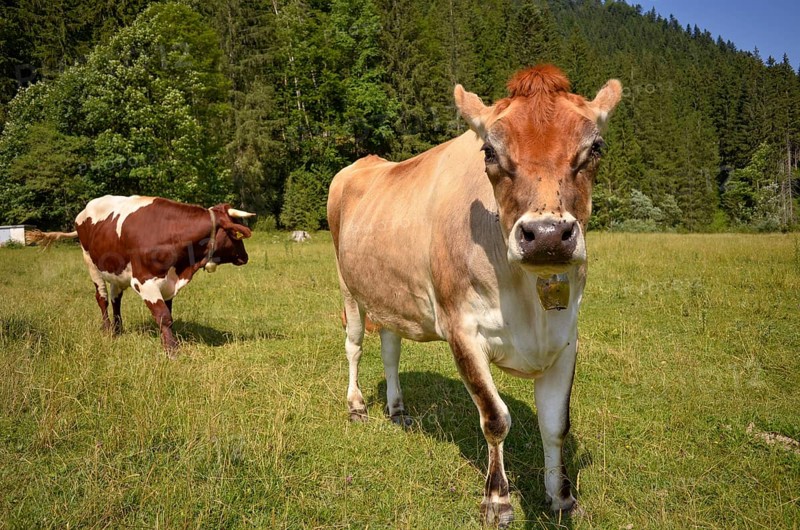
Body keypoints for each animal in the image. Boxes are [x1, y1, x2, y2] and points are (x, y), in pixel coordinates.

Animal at [35, 195, 255, 355]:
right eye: (235, 234)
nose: (245, 256)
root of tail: (85, 209)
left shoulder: (168, 283)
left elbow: (168, 315)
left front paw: (167, 342)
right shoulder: (144, 281)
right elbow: (164, 316)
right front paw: (172, 351)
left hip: (117, 270)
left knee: (116, 299)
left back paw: (118, 329)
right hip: (90, 262)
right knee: (102, 298)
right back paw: (107, 330)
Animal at [328, 65, 621, 526]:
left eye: (595, 147)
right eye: (489, 152)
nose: (547, 236)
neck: (527, 304)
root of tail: (367, 161)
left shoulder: (566, 336)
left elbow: (556, 423)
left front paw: (561, 497)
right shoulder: (460, 329)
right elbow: (495, 418)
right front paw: (497, 501)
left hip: (390, 291)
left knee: (391, 348)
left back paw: (398, 409)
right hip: (348, 286)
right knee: (354, 344)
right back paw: (357, 405)